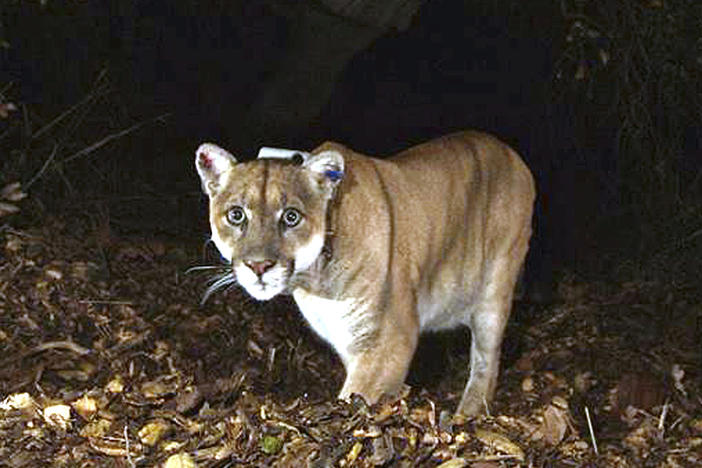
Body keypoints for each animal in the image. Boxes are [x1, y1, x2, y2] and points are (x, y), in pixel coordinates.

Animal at [195, 133, 536, 416]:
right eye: (236, 215)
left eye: (291, 217)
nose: (259, 266)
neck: (315, 282)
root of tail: (511, 152)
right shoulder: (349, 340)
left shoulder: (389, 339)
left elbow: (356, 395)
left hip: (495, 289)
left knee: (486, 361)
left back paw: (468, 413)